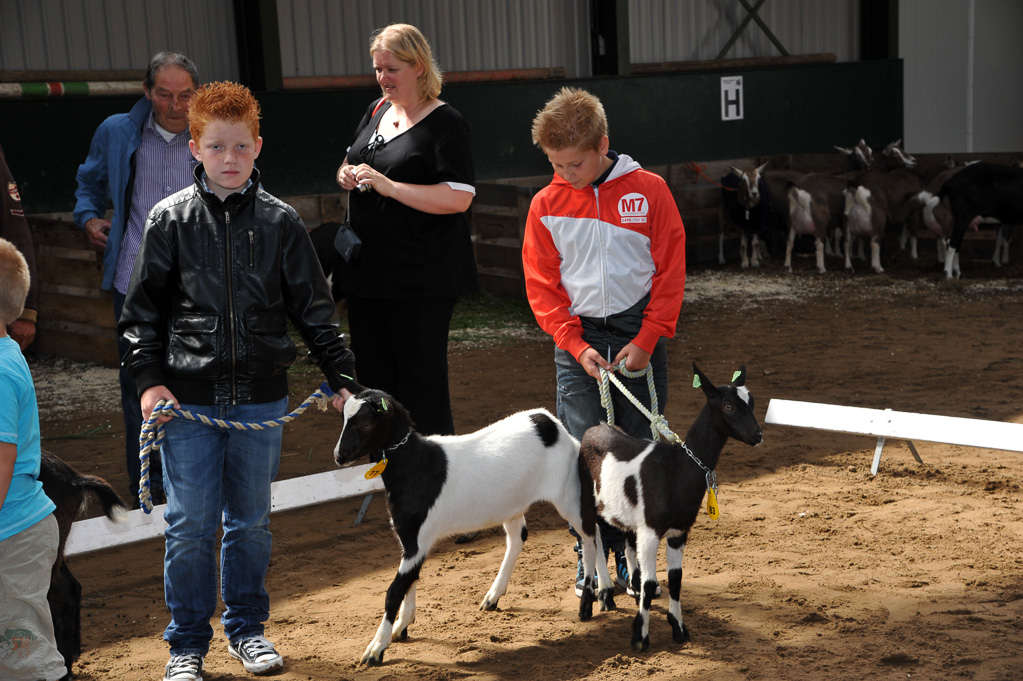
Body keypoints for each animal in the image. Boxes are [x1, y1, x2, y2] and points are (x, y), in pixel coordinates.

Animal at [331, 386, 609, 662]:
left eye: (366, 423)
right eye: (344, 418)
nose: (339, 456)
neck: (416, 466)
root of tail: (552, 425)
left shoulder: (418, 539)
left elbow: (394, 591)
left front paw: (376, 648)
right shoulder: (410, 541)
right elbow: (410, 581)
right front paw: (402, 627)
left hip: (568, 491)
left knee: (588, 536)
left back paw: (588, 603)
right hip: (514, 503)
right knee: (533, 536)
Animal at [576, 364, 761, 650]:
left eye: (751, 402)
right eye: (728, 406)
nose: (757, 435)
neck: (678, 469)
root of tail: (596, 427)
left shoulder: (678, 532)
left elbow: (675, 579)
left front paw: (679, 628)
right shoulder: (651, 530)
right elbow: (652, 582)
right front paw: (640, 637)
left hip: (619, 510)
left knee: (610, 538)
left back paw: (611, 593)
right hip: (584, 498)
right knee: (589, 541)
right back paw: (589, 603)